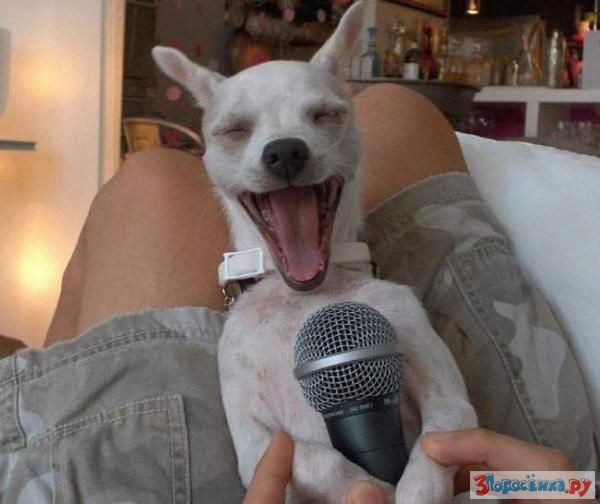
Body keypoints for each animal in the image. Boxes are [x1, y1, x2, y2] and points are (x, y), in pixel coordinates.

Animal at [153, 2, 477, 501]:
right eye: (234, 130)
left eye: (327, 115)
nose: (285, 150)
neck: (304, 297)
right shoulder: (256, 445)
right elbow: (314, 457)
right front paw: (365, 484)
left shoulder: (451, 406)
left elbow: (427, 466)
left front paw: (399, 489)